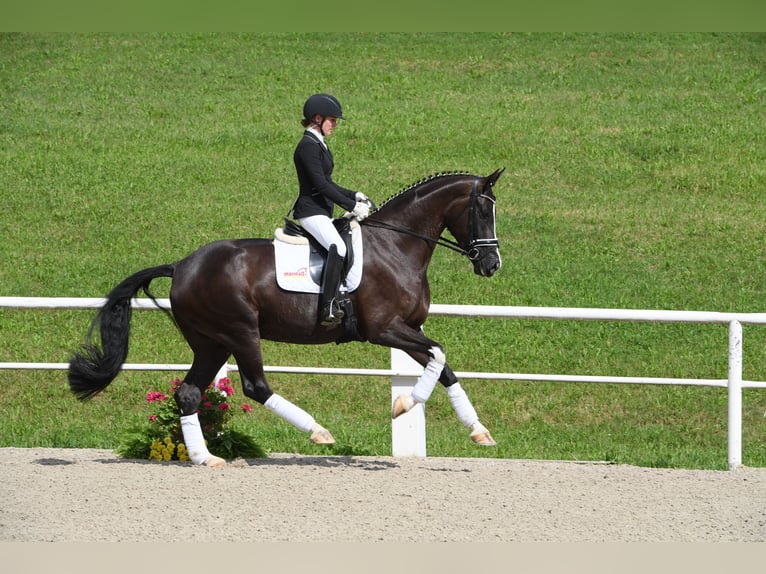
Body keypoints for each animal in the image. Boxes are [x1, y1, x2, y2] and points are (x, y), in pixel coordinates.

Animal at [69, 169, 508, 466]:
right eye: (482, 210)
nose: (491, 265)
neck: (396, 246)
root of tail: (181, 267)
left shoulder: (409, 329)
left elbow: (443, 365)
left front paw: (479, 431)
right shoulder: (385, 329)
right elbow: (438, 354)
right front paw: (403, 405)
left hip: (212, 342)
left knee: (189, 393)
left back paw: (206, 458)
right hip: (240, 331)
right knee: (255, 386)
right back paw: (318, 432)